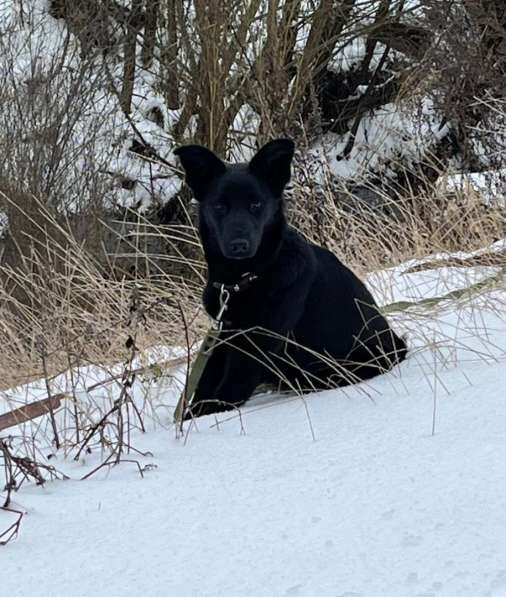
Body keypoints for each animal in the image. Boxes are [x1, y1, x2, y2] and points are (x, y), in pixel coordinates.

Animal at [174, 140, 408, 420]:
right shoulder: (224, 333)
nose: (239, 245)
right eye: (220, 206)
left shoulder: (256, 346)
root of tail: (397, 345)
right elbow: (206, 384)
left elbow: (227, 390)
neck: (245, 278)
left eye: (256, 204)